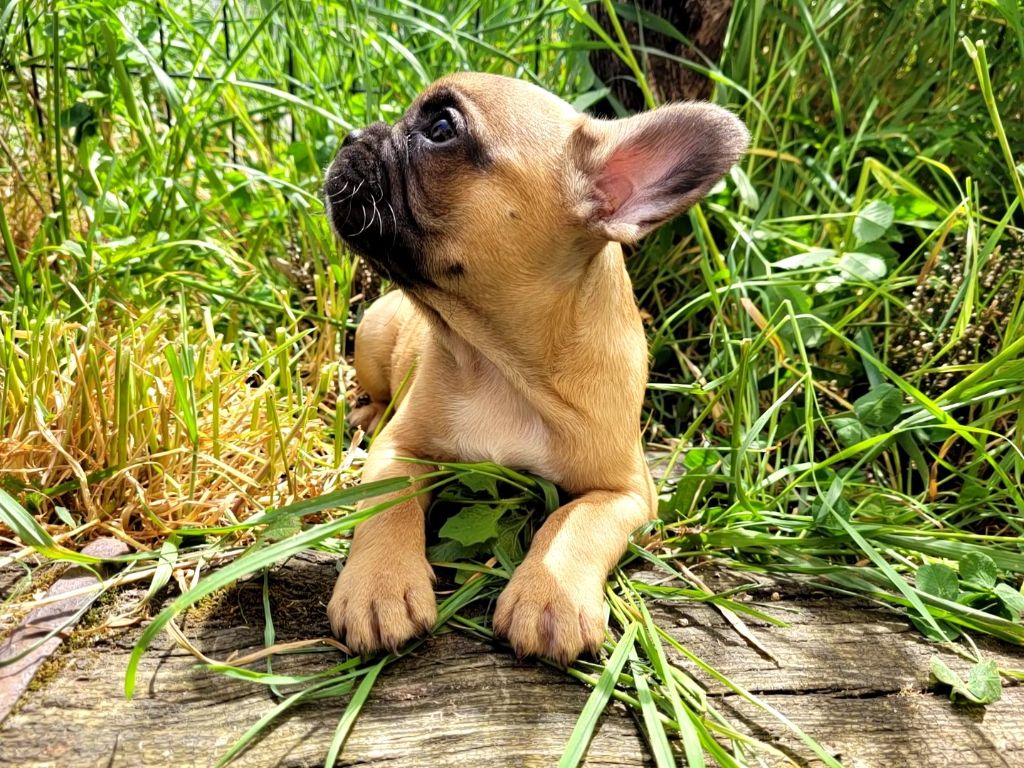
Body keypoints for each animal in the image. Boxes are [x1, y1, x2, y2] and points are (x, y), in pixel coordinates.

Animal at [323, 73, 749, 667]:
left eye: (441, 129)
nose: (350, 136)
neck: (501, 363)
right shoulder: (400, 447)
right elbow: (388, 502)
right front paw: (378, 588)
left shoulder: (628, 491)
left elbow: (576, 522)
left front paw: (549, 597)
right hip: (374, 335)